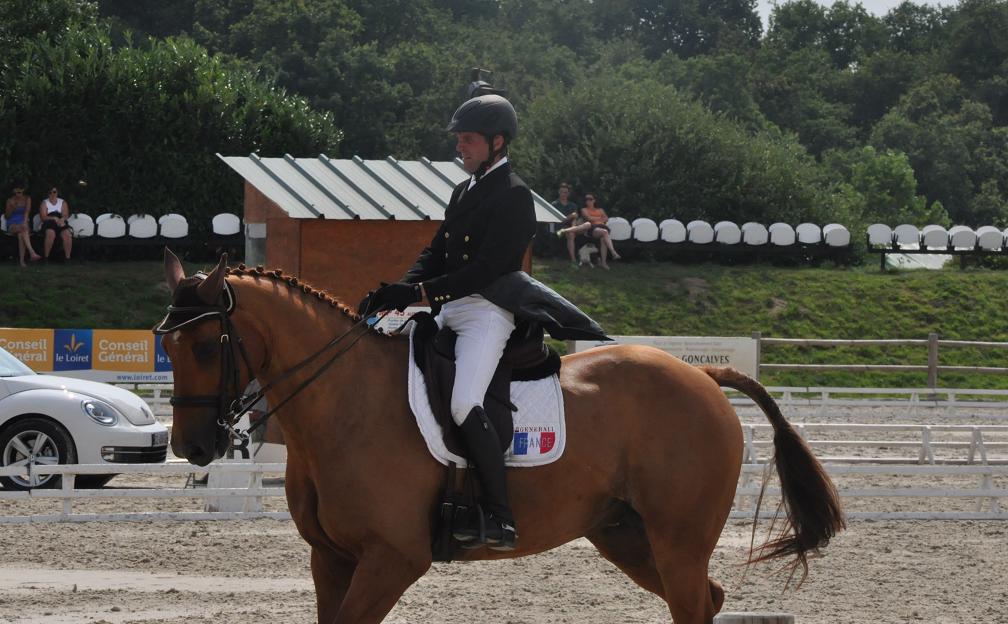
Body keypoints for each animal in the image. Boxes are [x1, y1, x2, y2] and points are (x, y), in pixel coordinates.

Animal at [161, 254, 846, 624]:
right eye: (167, 345)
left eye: (207, 346)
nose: (192, 447)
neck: (343, 403)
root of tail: (702, 375)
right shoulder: (330, 559)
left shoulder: (392, 558)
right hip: (626, 535)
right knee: (708, 599)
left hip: (678, 541)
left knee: (695, 602)